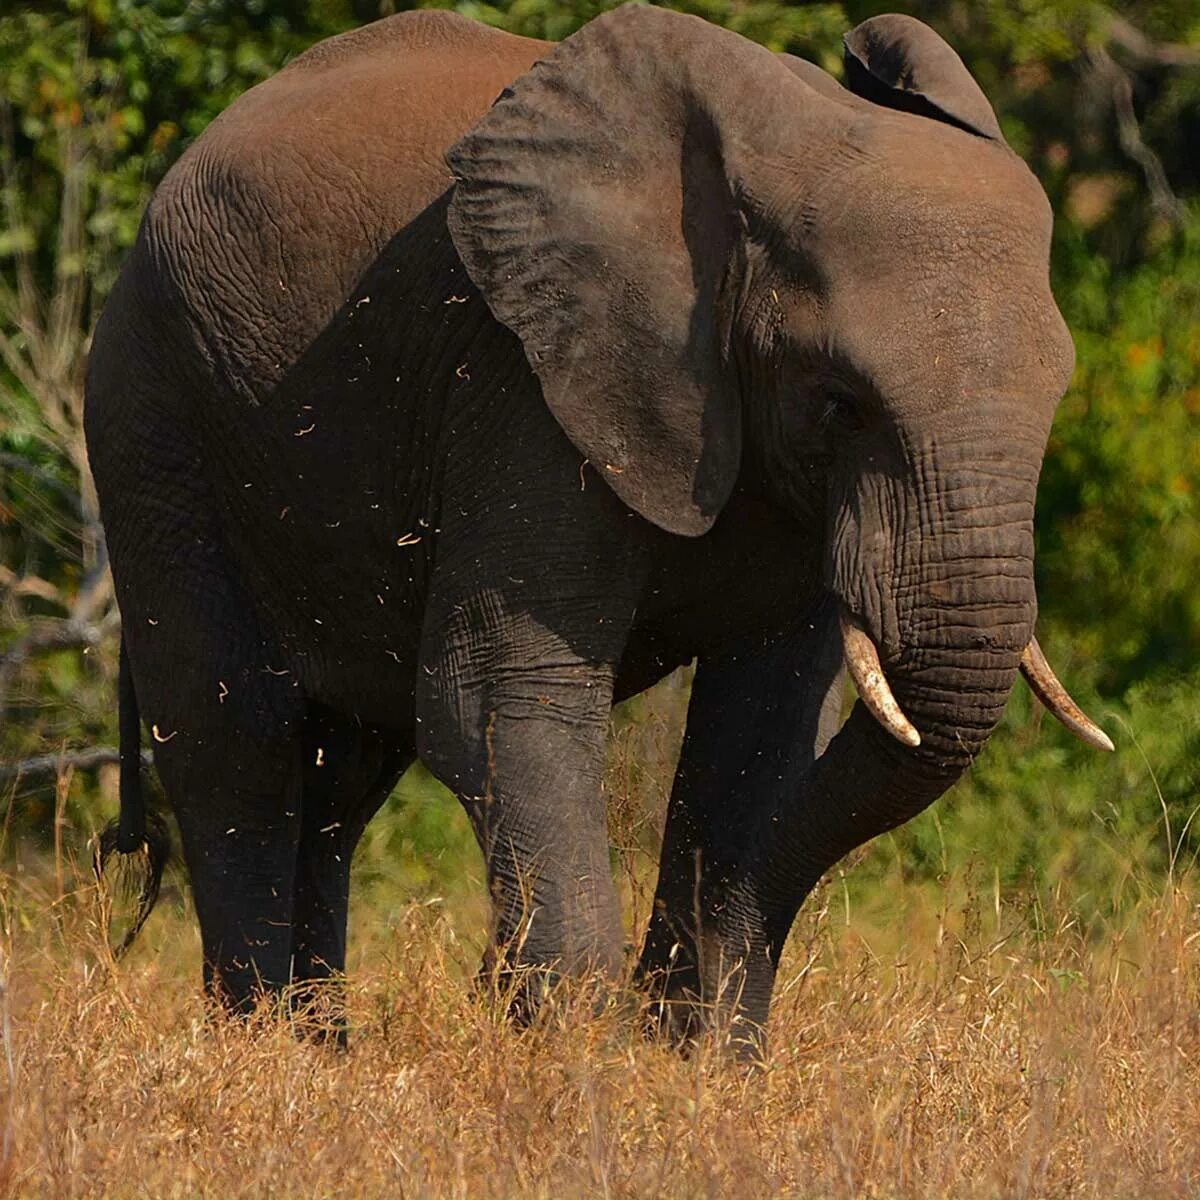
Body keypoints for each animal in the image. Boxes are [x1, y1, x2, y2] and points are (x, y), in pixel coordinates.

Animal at [88, 0, 1108, 1051]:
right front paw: (578, 1058)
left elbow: (767, 726)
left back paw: (321, 1046)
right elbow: (497, 692)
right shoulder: (525, 374)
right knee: (235, 737)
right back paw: (267, 1049)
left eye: (1058, 394)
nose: (481, 978)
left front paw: (700, 1062)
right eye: (839, 401)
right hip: (154, 419)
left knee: (343, 773)